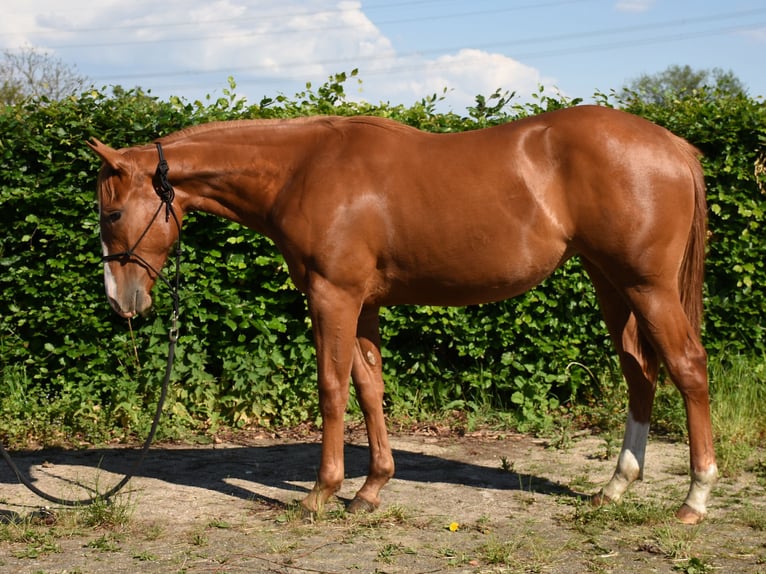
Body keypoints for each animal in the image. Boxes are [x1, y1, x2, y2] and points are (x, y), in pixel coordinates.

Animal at [88, 105, 717, 524]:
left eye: (112, 213)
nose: (122, 301)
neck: (302, 171)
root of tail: (674, 146)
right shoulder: (362, 304)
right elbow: (370, 388)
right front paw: (370, 489)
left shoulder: (333, 297)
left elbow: (332, 388)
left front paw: (321, 492)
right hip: (611, 283)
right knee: (640, 371)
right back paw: (615, 487)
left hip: (647, 287)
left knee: (687, 367)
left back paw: (695, 497)